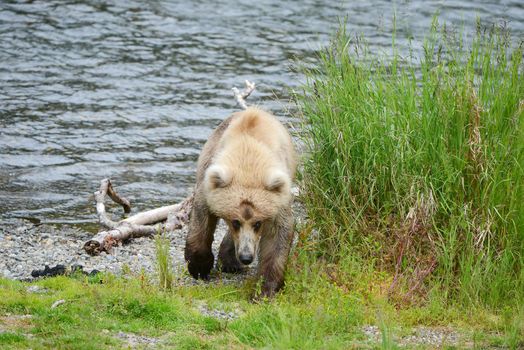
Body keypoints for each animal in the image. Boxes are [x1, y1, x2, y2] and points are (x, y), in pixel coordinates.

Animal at [185, 106, 296, 298]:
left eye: (258, 223)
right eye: (235, 221)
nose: (246, 257)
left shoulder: (278, 199)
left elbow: (278, 235)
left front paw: (265, 290)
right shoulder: (210, 181)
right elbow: (202, 217)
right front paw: (199, 267)